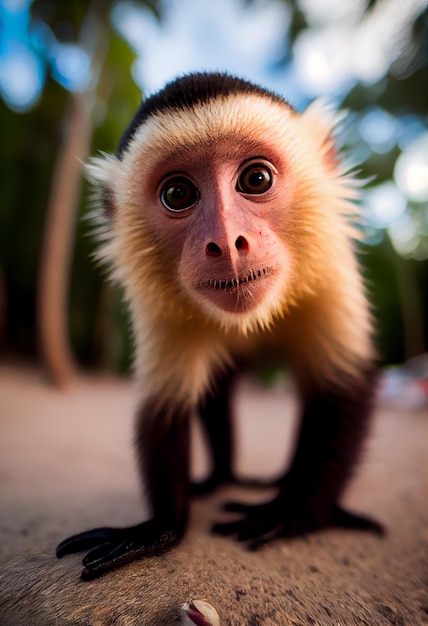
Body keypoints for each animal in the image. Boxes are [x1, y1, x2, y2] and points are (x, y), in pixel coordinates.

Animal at [56, 70, 382, 576]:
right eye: (178, 194)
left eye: (256, 179)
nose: (227, 242)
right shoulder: (161, 308)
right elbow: (165, 408)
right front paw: (161, 527)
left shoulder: (331, 272)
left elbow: (342, 385)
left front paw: (295, 511)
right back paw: (221, 477)